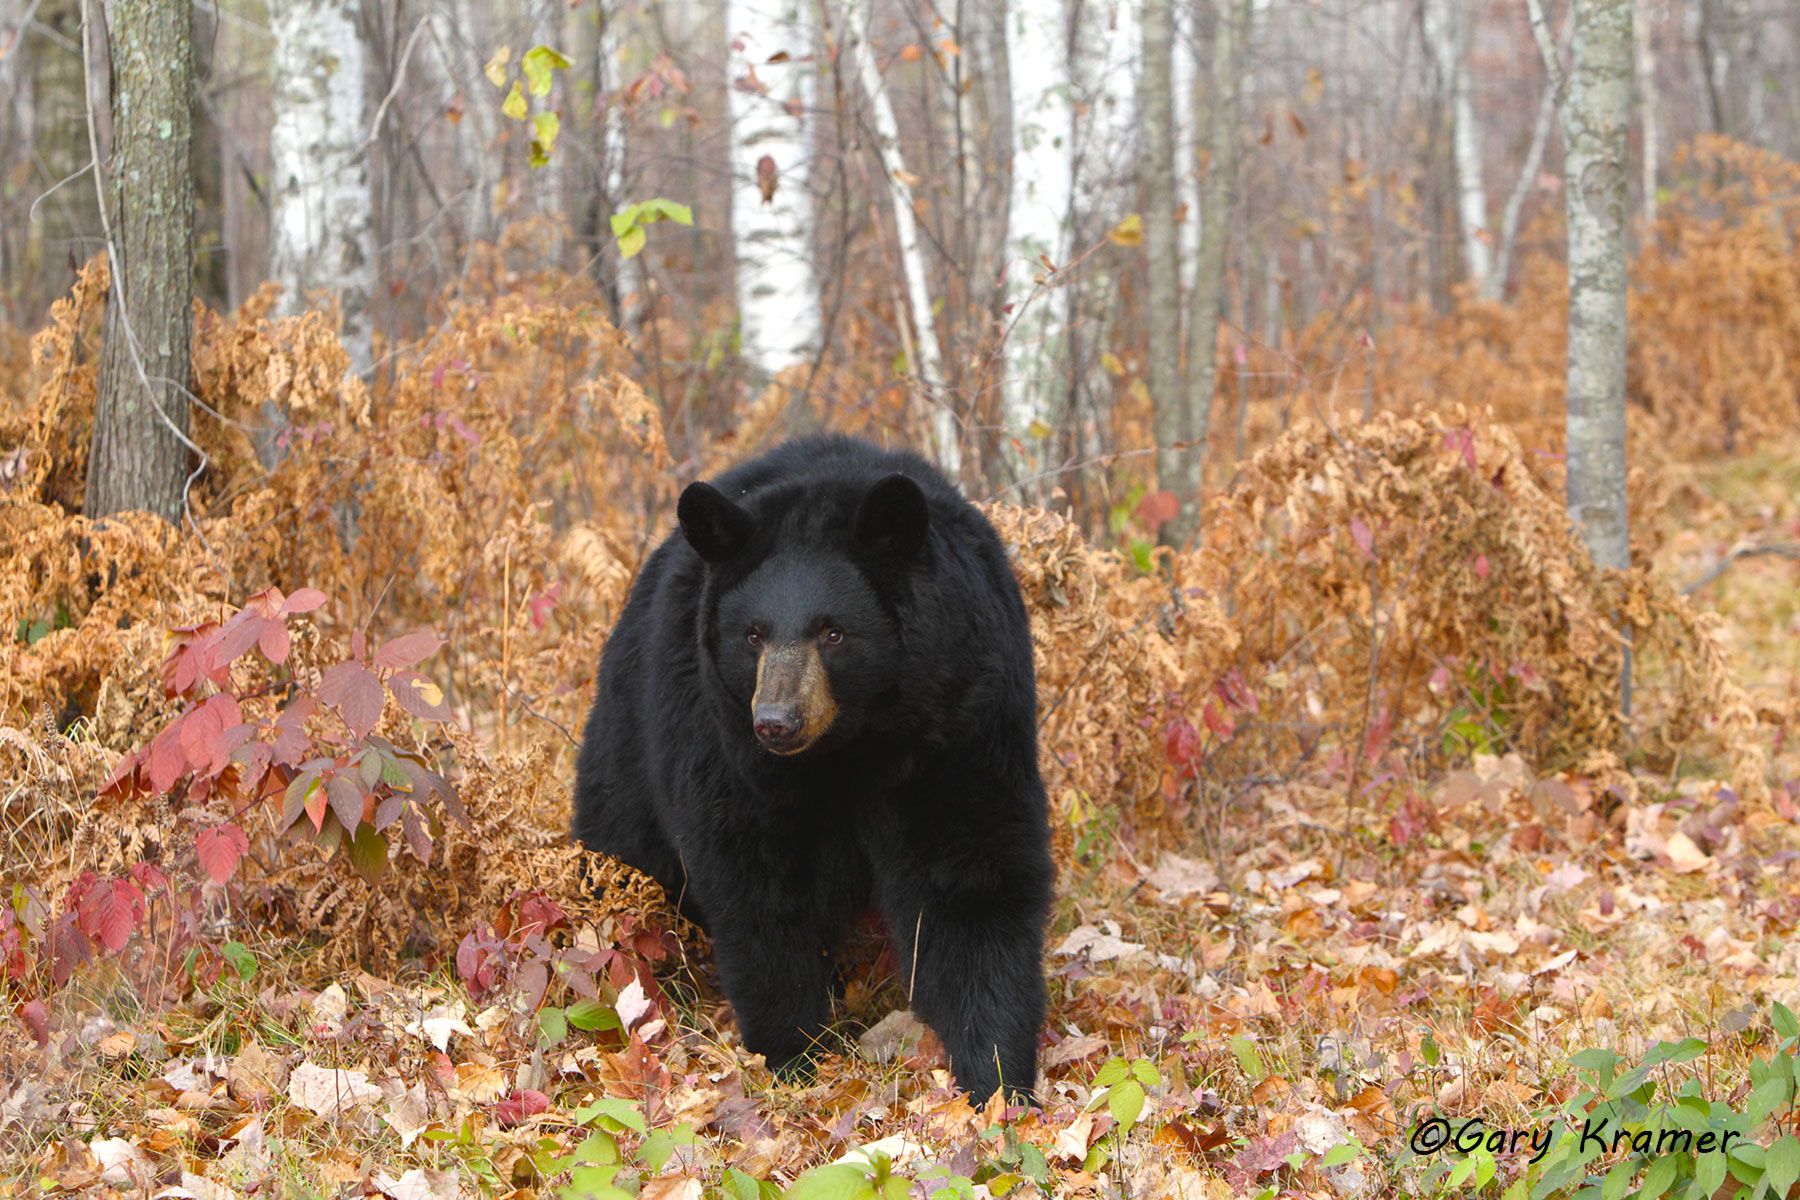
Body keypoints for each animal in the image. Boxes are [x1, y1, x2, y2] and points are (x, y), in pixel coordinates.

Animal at [572, 434, 1054, 1103]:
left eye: (833, 632)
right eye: (752, 635)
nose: (776, 722)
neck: (852, 744)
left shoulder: (959, 711)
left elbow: (968, 869)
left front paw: (998, 1073)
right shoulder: (720, 740)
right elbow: (760, 883)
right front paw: (793, 1055)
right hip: (630, 738)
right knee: (618, 846)